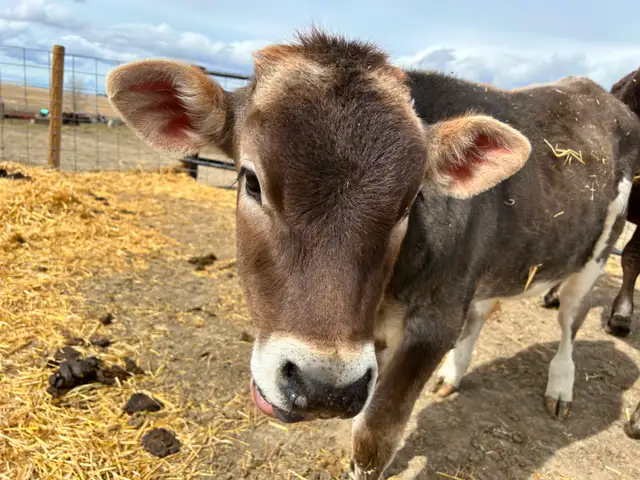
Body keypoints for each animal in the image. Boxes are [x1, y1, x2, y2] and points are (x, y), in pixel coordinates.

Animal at [105, 29, 640, 479]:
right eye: (252, 181)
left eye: (409, 202)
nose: (322, 386)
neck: (386, 296)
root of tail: (605, 98)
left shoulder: (431, 325)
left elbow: (373, 439)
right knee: (484, 311)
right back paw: (455, 373)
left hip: (598, 251)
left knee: (569, 320)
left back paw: (561, 384)